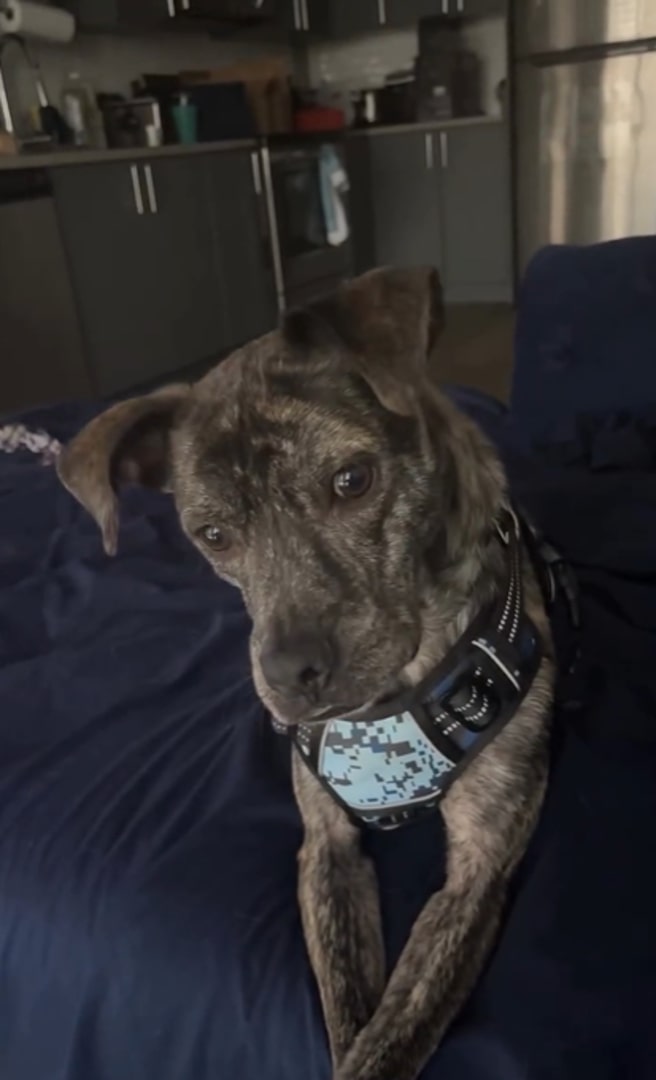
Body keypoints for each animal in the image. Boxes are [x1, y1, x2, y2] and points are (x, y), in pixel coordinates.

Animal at [58, 267, 557, 1080]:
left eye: (353, 480)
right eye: (213, 535)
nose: (292, 674)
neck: (396, 697)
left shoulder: (477, 876)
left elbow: (386, 1040)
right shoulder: (327, 849)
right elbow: (346, 1015)